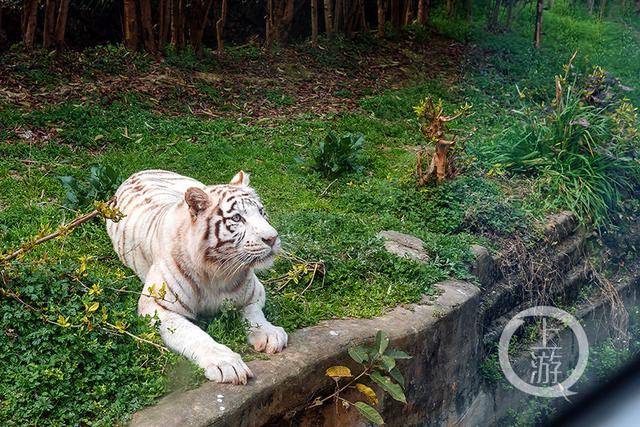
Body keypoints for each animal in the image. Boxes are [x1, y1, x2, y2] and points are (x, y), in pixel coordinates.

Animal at [106, 170, 286, 384]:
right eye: (237, 218)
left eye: (261, 211)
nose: (272, 238)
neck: (219, 270)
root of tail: (139, 172)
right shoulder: (158, 307)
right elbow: (194, 335)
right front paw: (226, 362)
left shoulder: (255, 293)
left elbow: (254, 313)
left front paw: (269, 333)